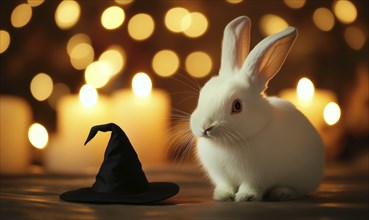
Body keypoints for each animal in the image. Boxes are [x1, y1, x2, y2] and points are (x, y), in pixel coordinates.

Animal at [190, 16, 322, 202]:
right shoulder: (222, 176)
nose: (205, 128)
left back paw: (282, 193)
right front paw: (222, 195)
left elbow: (251, 186)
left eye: (237, 106)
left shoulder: (256, 176)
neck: (228, 144)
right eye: (202, 95)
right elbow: (226, 185)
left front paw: (245, 197)